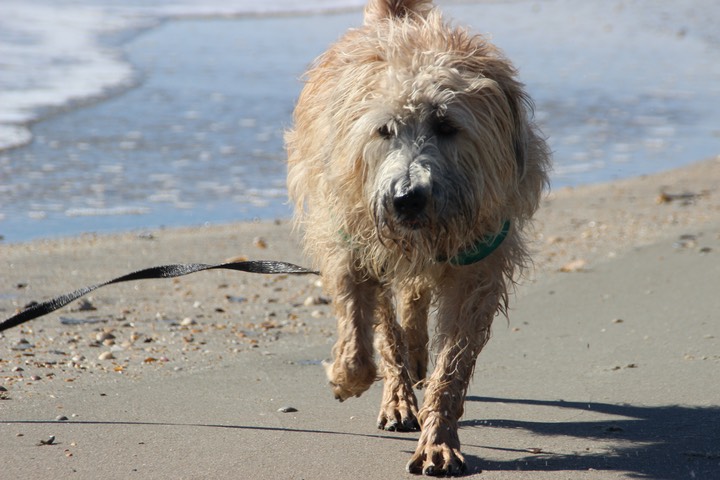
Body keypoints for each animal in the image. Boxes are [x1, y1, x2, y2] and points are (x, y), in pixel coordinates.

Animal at [284, 0, 548, 472]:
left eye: (446, 126)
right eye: (383, 130)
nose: (406, 198)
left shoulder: (477, 265)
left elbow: (453, 365)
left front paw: (439, 439)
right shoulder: (354, 235)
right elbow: (366, 333)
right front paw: (348, 376)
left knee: (414, 297)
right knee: (397, 312)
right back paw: (399, 389)